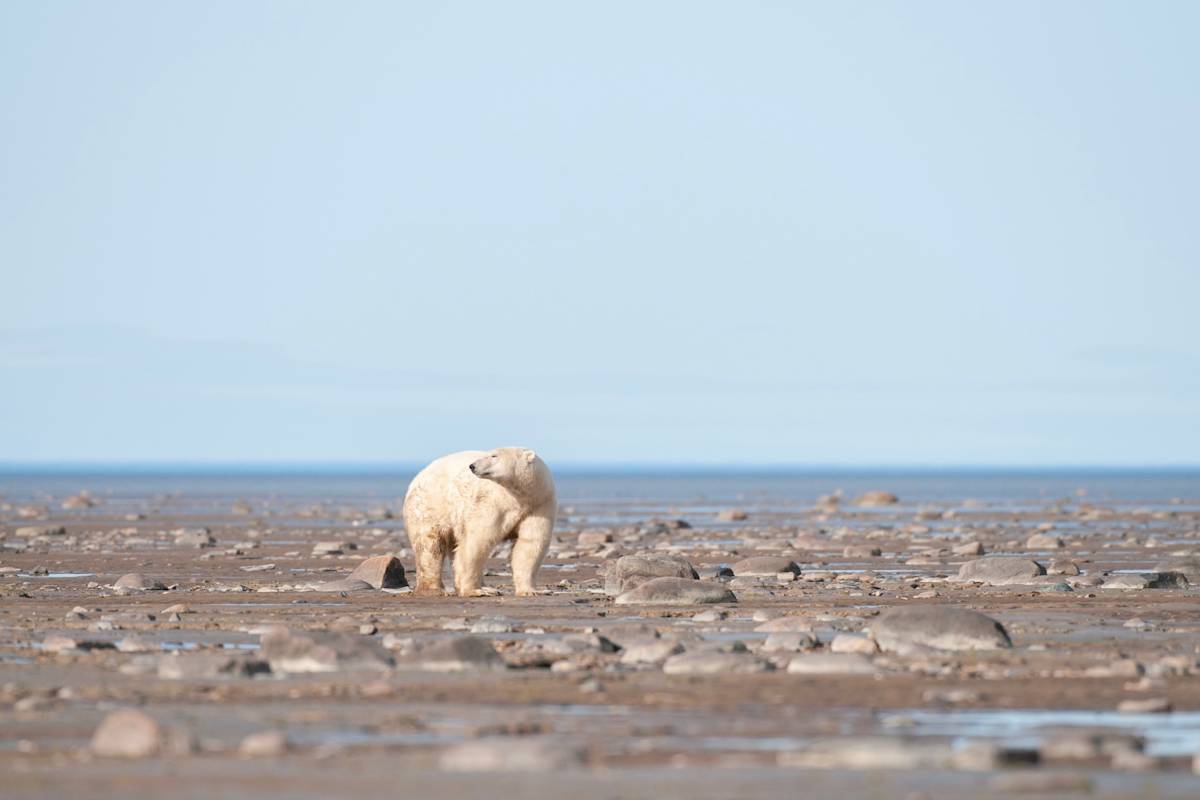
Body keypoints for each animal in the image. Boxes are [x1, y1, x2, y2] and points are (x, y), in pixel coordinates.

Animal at [402, 448, 556, 597]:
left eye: (494, 455)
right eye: (491, 453)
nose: (472, 466)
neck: (520, 496)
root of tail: (419, 475)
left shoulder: (539, 505)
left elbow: (530, 545)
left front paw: (532, 590)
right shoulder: (493, 503)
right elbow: (477, 541)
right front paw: (474, 591)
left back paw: (487, 587)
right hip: (432, 504)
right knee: (430, 546)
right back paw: (434, 590)